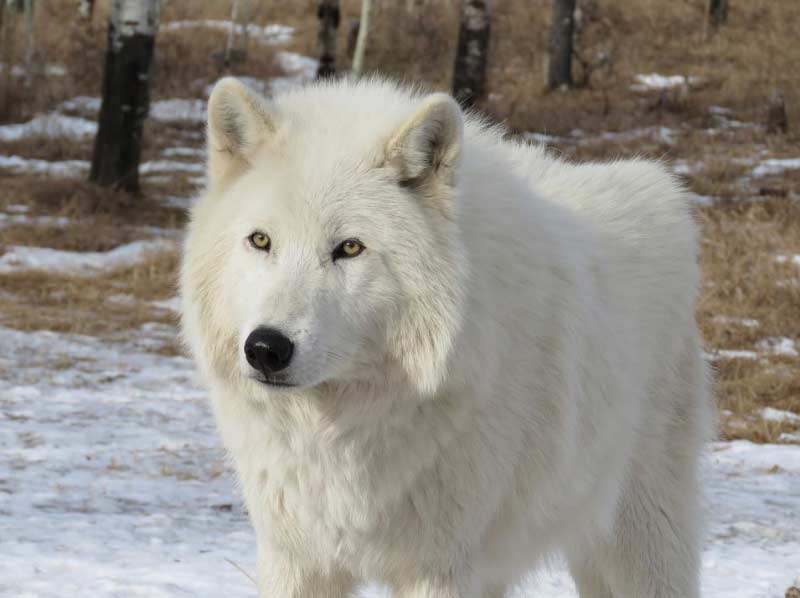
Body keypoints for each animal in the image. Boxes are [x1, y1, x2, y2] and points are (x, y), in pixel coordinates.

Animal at [181, 78, 712, 598]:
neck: (342, 431)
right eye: (261, 241)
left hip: (640, 544)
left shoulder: (439, 567)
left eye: (349, 248)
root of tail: (660, 187)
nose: (265, 348)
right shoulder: (295, 557)